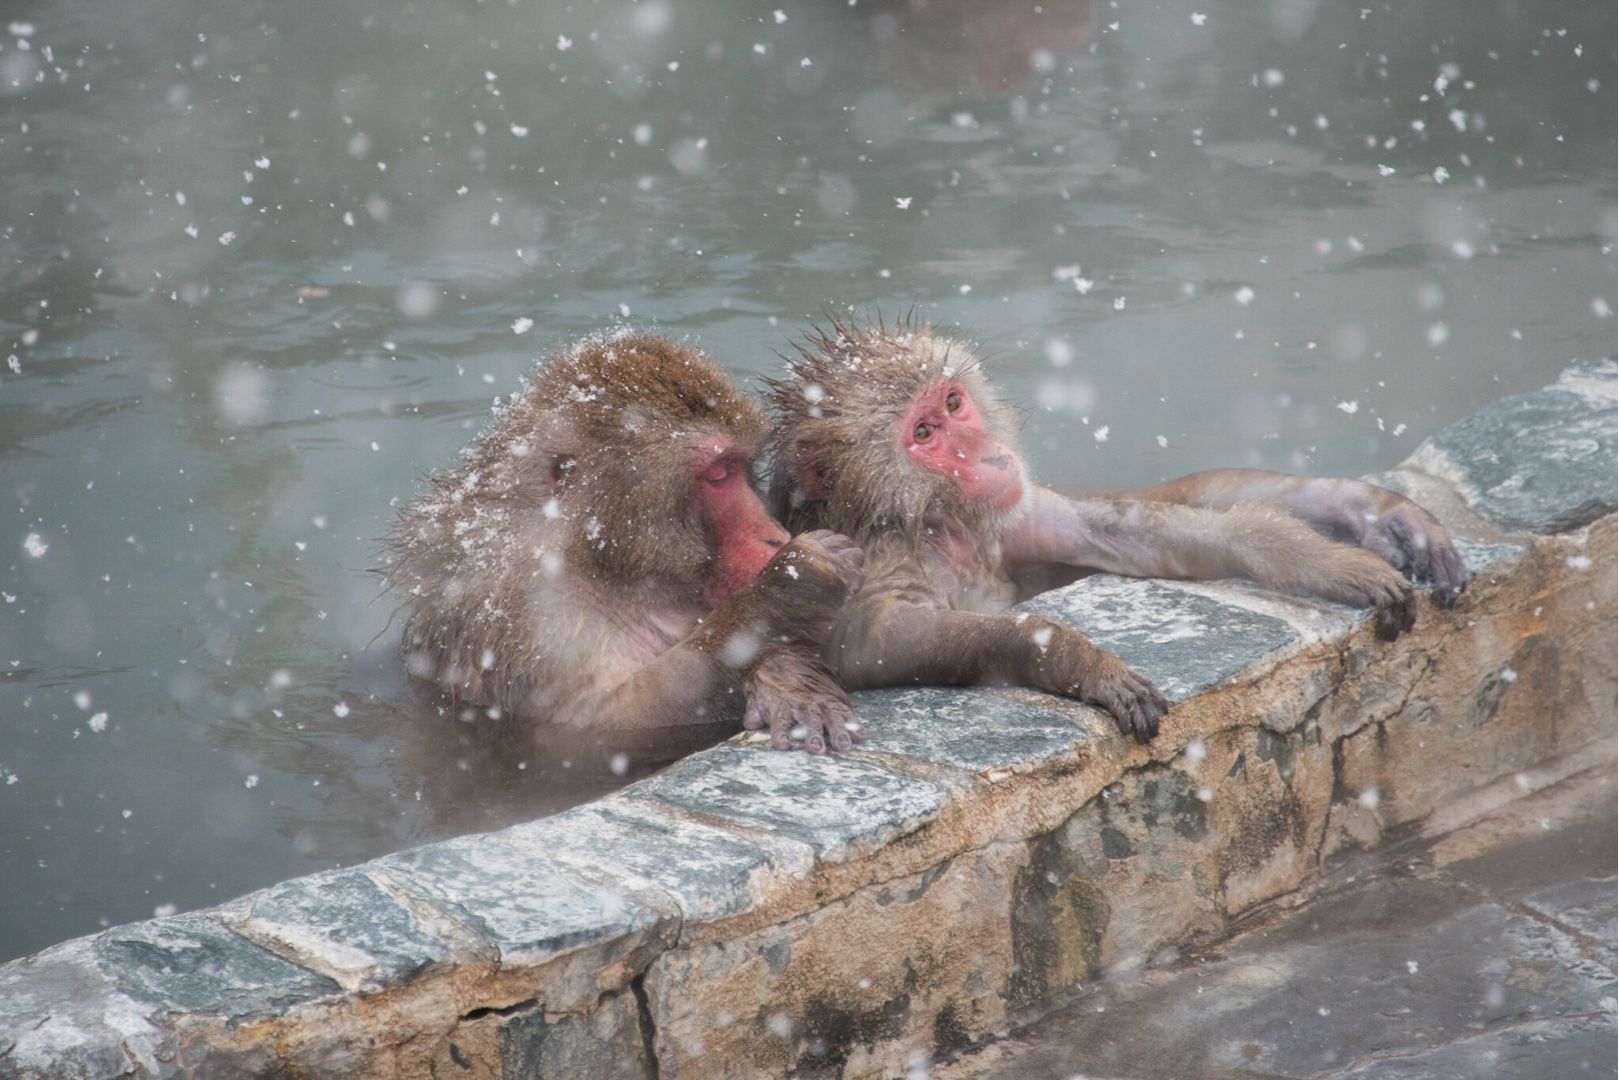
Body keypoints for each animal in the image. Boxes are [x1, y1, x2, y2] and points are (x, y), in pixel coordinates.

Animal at [383, 331, 867, 761]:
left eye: (739, 465)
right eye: (717, 474)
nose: (775, 537)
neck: (599, 563)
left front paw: (787, 681)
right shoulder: (527, 616)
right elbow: (608, 720)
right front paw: (788, 588)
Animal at [767, 317, 1470, 748]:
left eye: (952, 403)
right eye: (923, 434)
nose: (988, 454)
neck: (937, 528)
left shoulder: (1013, 518)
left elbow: (1125, 530)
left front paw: (1355, 529)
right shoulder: (868, 564)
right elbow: (874, 644)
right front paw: (1073, 657)